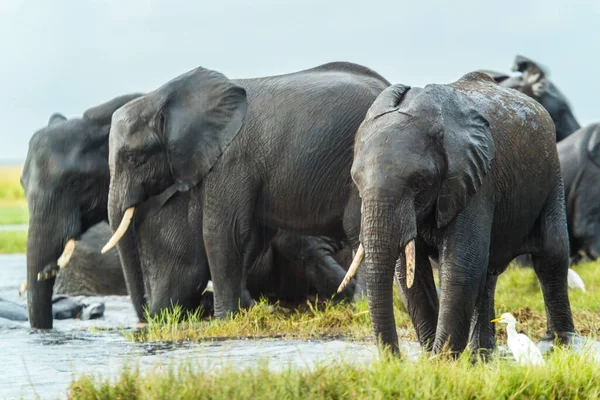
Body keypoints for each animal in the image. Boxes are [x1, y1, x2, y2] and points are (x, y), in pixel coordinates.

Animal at [103, 60, 390, 322]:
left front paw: (225, 319)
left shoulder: (231, 158)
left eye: (133, 158)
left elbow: (221, 231)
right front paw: (249, 309)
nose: (147, 317)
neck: (164, 95)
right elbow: (251, 235)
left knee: (357, 229)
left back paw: (361, 306)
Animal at [346, 71, 576, 356]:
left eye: (419, 181)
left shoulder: (475, 182)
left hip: (552, 175)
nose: (394, 359)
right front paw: (431, 357)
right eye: (356, 181)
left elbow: (460, 266)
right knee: (488, 273)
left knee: (551, 255)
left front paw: (440, 358)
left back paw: (559, 343)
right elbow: (412, 274)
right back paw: (481, 355)